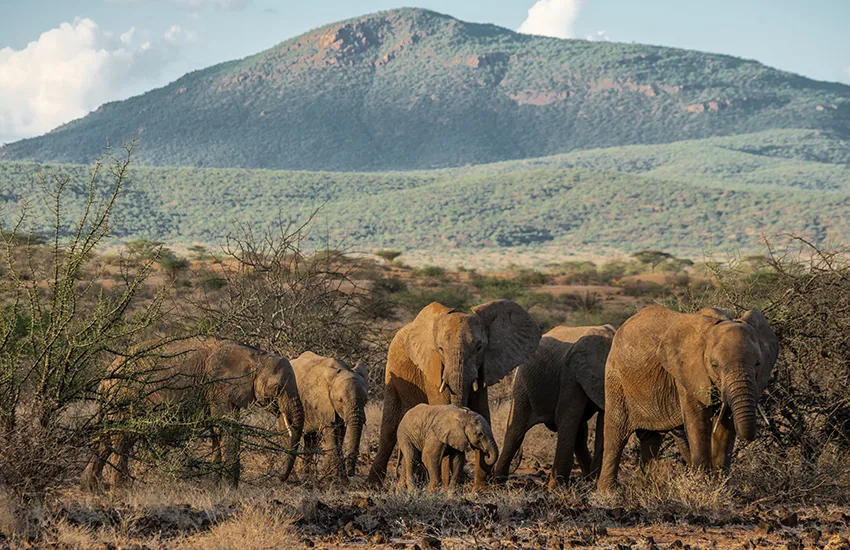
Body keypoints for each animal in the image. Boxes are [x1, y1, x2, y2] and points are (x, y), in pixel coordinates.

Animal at [80, 338, 304, 491]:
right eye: (277, 388)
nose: (281, 479)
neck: (255, 355)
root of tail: (105, 377)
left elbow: (217, 430)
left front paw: (217, 486)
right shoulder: (218, 386)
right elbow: (227, 427)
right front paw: (230, 488)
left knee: (109, 439)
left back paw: (92, 487)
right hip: (126, 397)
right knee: (123, 438)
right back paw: (121, 488)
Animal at [290, 351, 368, 481]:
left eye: (366, 400)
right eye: (340, 400)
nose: (351, 473)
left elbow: (340, 436)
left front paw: (341, 479)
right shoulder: (324, 403)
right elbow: (332, 437)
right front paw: (339, 480)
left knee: (311, 440)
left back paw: (306, 476)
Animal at [367, 300, 541, 489]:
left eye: (479, 348)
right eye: (440, 349)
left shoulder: (484, 369)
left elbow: (482, 411)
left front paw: (479, 490)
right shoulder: (433, 368)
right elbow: (442, 408)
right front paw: (445, 486)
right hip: (392, 368)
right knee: (389, 428)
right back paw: (373, 485)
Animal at [494, 325, 615, 488]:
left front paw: (593, 485)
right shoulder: (570, 376)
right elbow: (566, 419)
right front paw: (556, 490)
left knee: (580, 434)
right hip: (522, 385)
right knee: (516, 431)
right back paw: (496, 484)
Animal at [597, 305, 778, 491]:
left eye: (758, 364)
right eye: (714, 365)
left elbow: (726, 423)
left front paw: (721, 487)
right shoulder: (687, 373)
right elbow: (698, 420)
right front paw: (703, 486)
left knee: (651, 439)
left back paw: (647, 488)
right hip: (615, 381)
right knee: (615, 436)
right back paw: (607, 493)